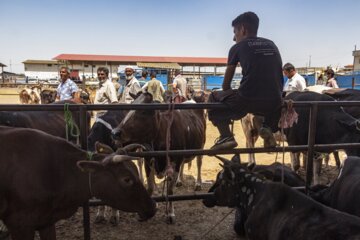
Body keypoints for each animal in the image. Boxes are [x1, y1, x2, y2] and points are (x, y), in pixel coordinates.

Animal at [114, 92, 207, 223]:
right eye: (130, 106)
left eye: (143, 111)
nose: (115, 132)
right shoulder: (148, 161)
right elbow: (150, 187)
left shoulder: (174, 163)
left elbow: (170, 191)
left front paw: (170, 214)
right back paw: (179, 180)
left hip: (201, 146)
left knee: (199, 163)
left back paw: (198, 183)